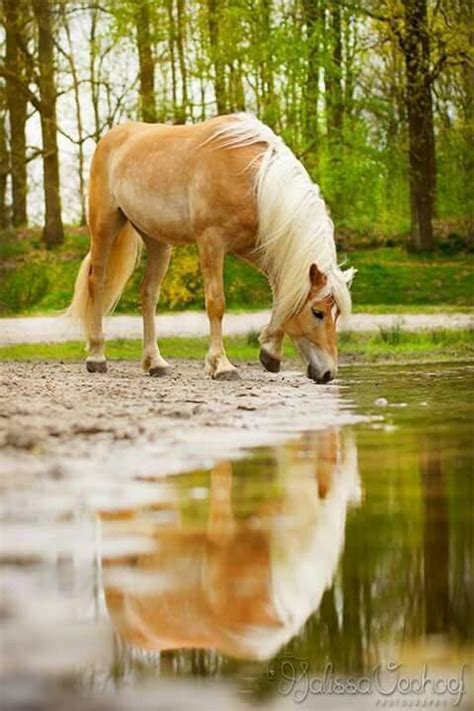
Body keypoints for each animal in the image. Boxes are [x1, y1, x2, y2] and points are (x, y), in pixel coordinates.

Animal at [68, 113, 354, 384]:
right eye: (317, 312)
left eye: (337, 312)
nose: (328, 373)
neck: (254, 179)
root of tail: (113, 136)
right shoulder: (211, 242)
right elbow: (216, 303)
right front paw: (222, 365)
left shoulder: (255, 247)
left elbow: (282, 294)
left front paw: (269, 352)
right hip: (105, 226)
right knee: (97, 282)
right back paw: (97, 356)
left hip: (158, 242)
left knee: (148, 295)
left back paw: (155, 363)